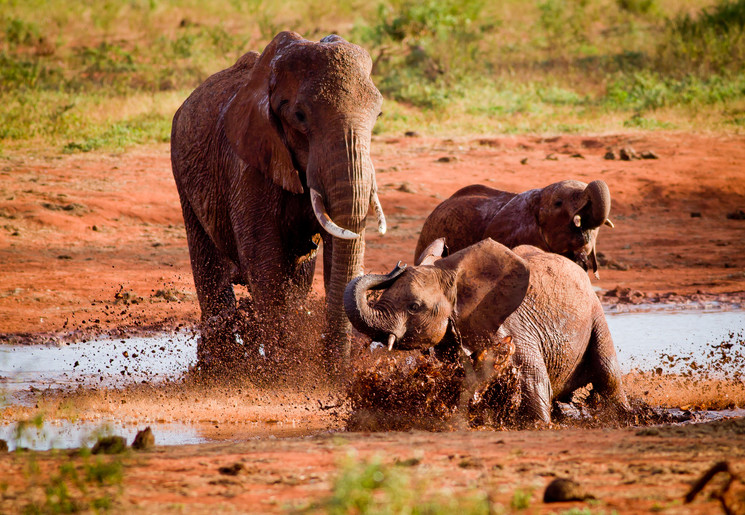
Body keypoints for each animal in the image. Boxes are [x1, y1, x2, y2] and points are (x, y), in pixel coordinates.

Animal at [171, 33, 386, 378]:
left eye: (378, 116)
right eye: (299, 116)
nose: (334, 370)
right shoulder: (247, 166)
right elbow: (264, 259)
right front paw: (281, 373)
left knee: (299, 276)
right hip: (182, 169)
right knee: (209, 266)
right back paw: (218, 368)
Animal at [342, 238, 628, 424]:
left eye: (414, 307)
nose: (397, 266)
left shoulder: (512, 331)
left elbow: (535, 383)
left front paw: (540, 426)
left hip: (596, 314)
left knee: (609, 375)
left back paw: (623, 416)